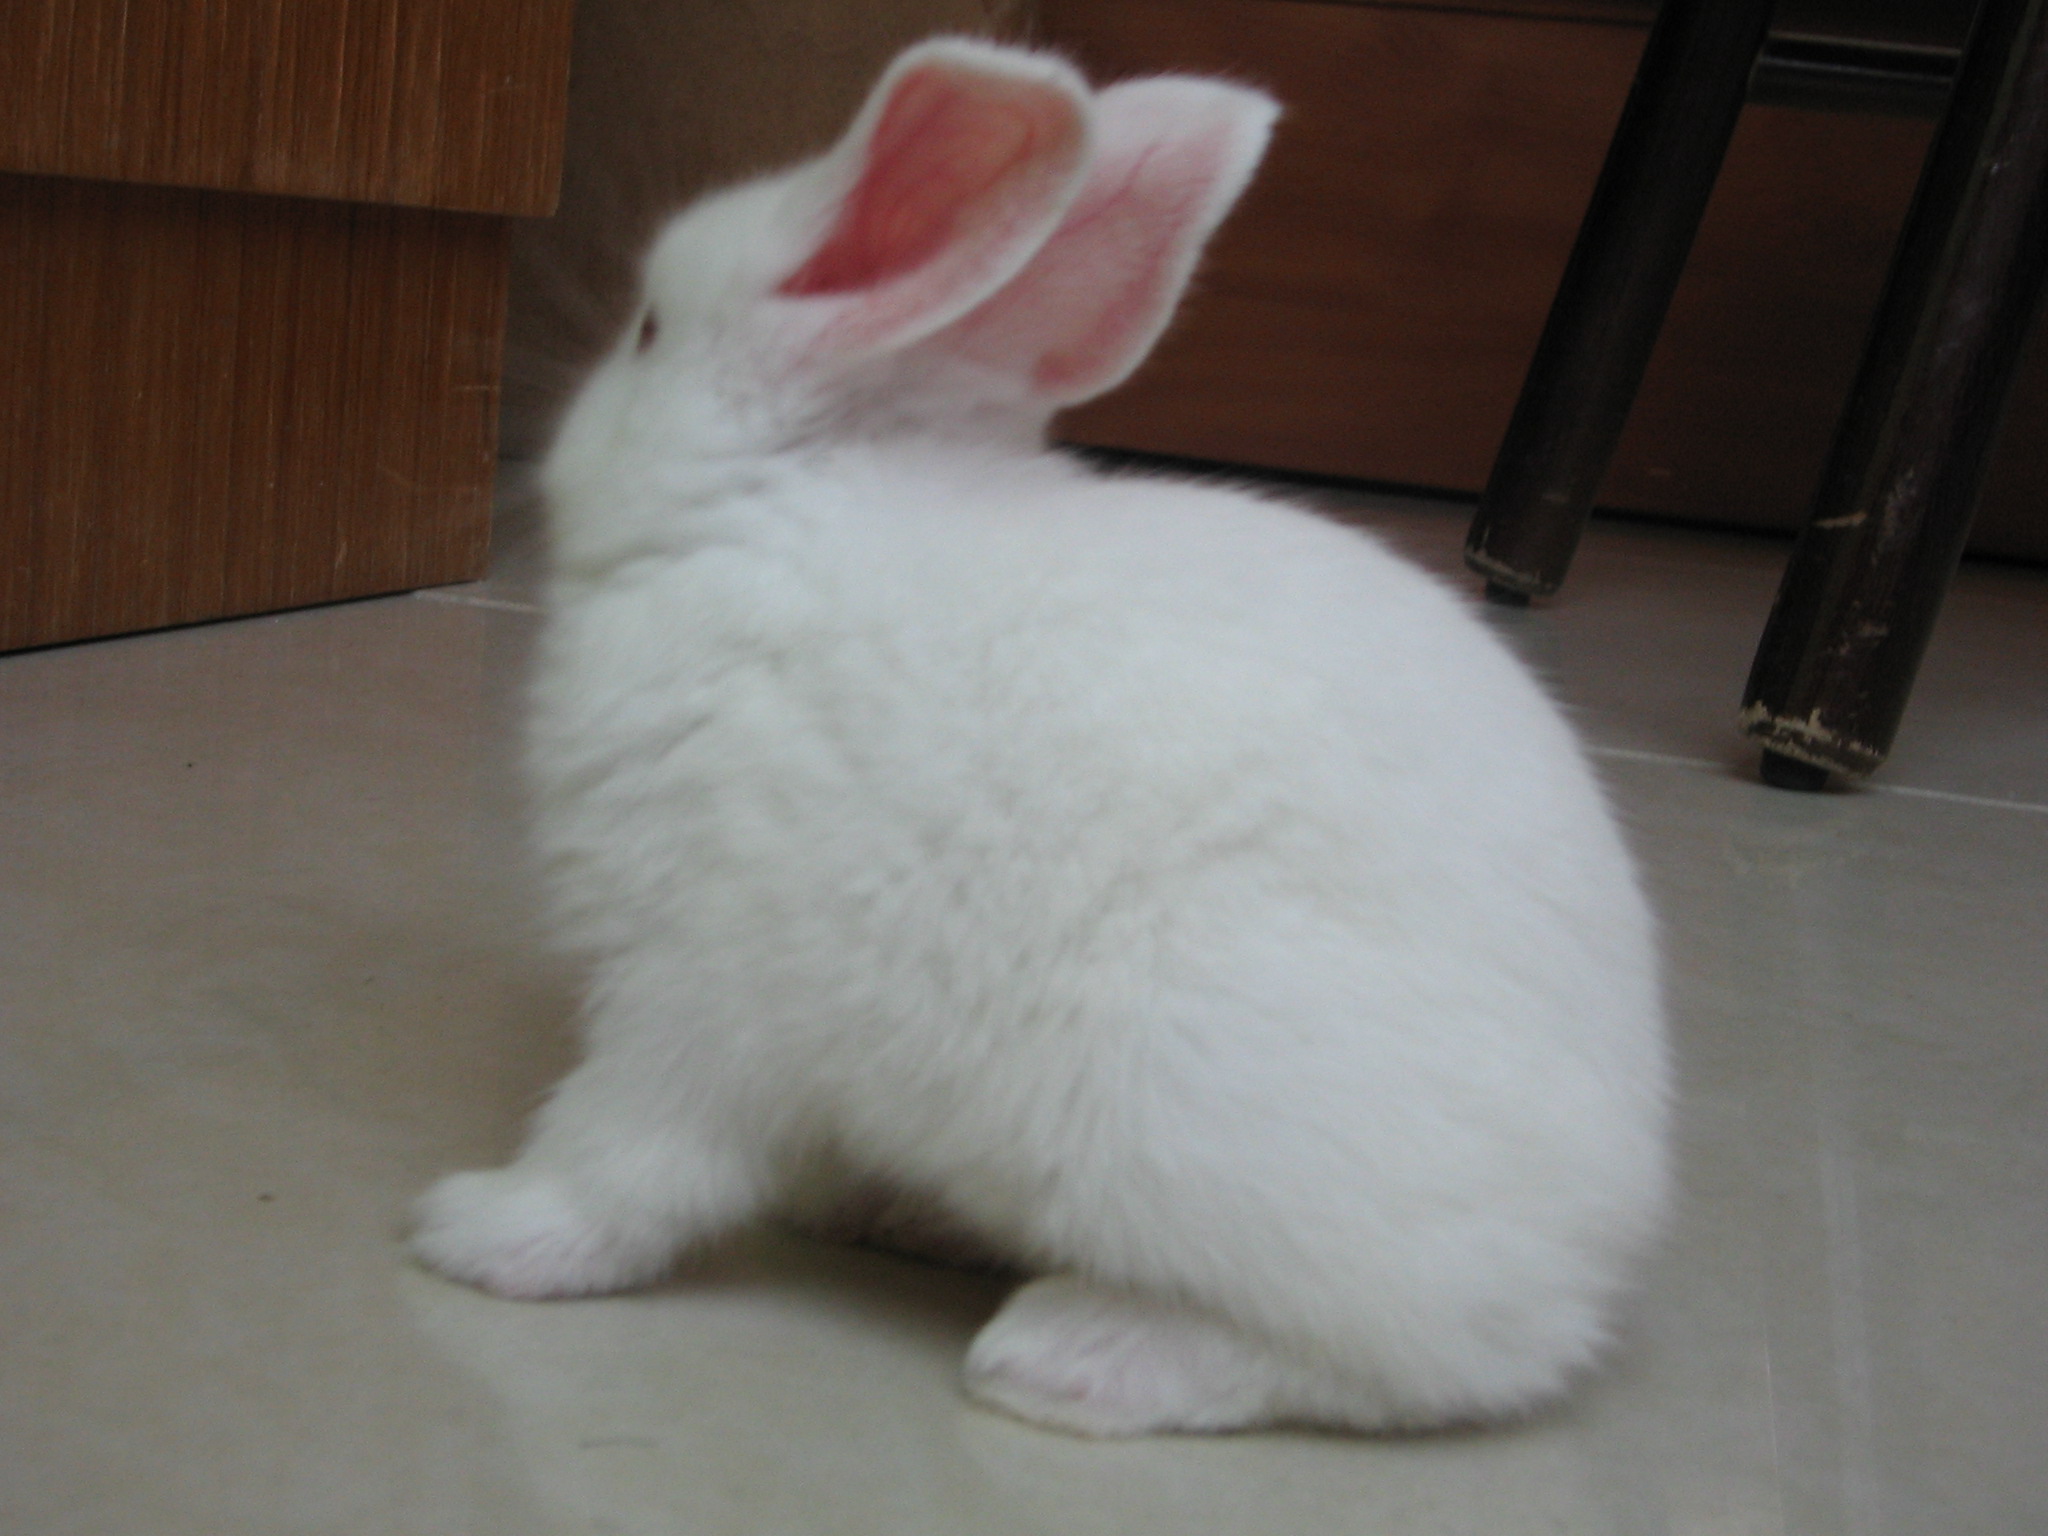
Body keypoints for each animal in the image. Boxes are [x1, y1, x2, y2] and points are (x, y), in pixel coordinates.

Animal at [410, 36, 1671, 1438]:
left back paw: (1070, 1353)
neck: (777, 506)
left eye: (645, 332)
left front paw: (479, 1232)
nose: (553, 424)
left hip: (1194, 1117)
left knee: (1419, 1357)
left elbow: (622, 1153)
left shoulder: (693, 985)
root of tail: (1599, 1237)